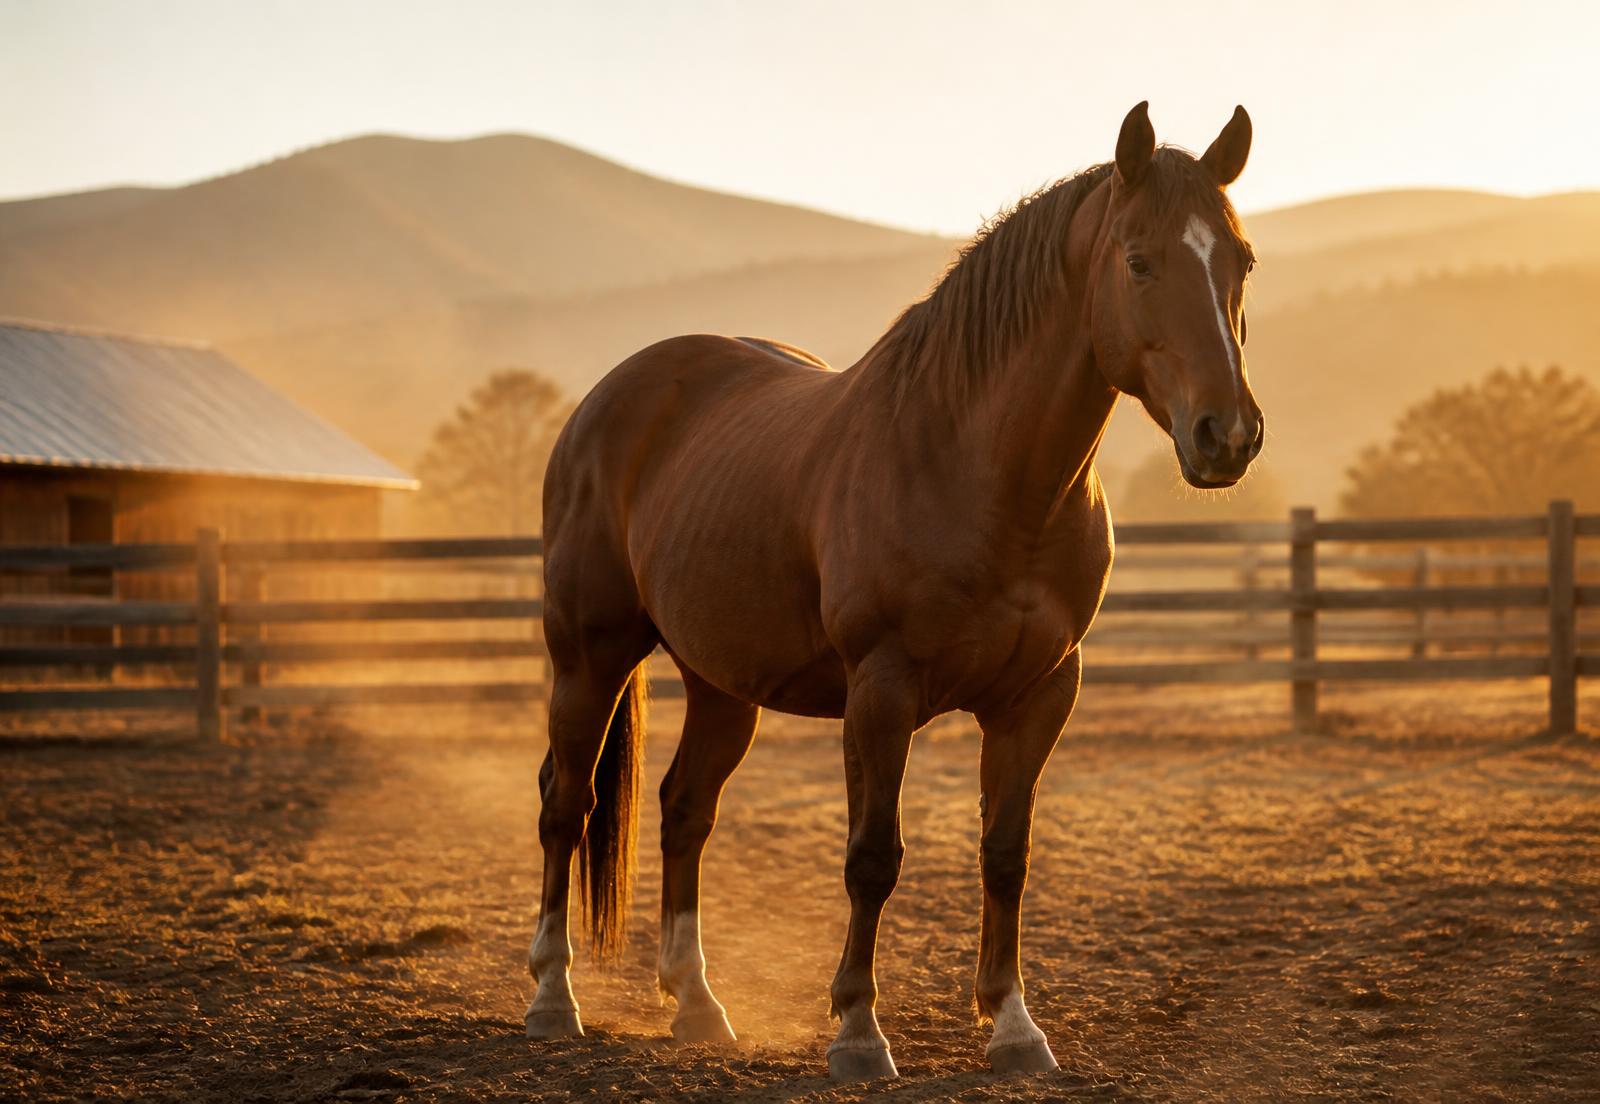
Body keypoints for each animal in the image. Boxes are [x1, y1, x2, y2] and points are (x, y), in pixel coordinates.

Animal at [524, 101, 1263, 1081]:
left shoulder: (1041, 694)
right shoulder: (881, 688)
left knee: (685, 809)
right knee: (565, 805)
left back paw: (698, 1005)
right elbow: (873, 857)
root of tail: (608, 399)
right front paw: (858, 1033)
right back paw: (551, 997)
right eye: (1140, 261)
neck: (976, 468)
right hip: (590, 654)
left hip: (722, 684)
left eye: (1240, 260)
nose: (1228, 435)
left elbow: (1005, 854)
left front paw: (1014, 1028)